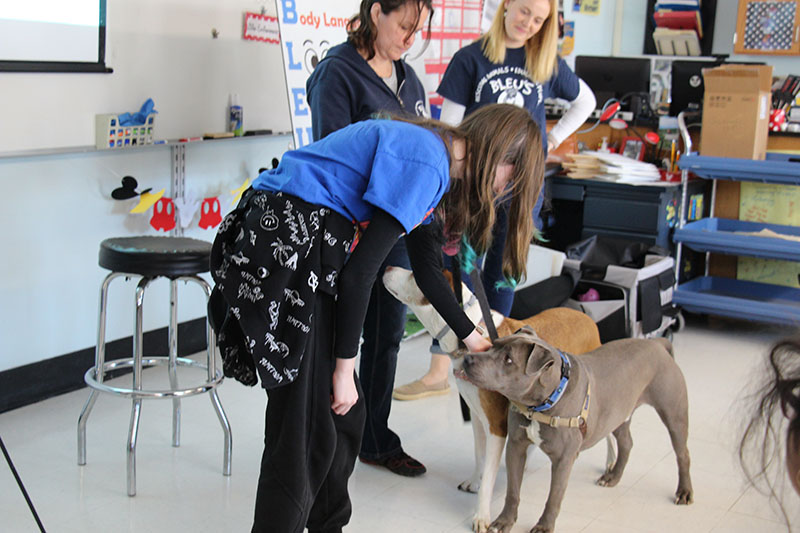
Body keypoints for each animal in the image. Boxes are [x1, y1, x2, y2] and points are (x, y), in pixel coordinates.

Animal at [462, 324, 692, 532]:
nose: (467, 359)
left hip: (674, 413)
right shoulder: (516, 447)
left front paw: (544, 526)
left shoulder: (564, 459)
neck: (548, 399)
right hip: (616, 414)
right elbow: (512, 491)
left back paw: (684, 492)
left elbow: (554, 497)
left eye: (508, 360)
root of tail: (657, 344)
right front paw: (504, 521)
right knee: (626, 443)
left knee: (682, 454)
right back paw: (613, 477)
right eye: (493, 345)